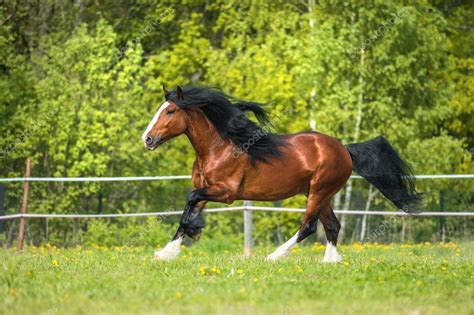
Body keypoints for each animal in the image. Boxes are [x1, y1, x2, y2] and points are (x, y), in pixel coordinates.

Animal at [141, 85, 418, 262]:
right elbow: (186, 212)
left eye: (170, 111)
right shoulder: (206, 190)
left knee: (308, 226)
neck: (218, 147)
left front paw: (192, 232)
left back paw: (274, 256)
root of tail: (345, 149)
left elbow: (189, 203)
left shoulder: (225, 193)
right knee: (332, 226)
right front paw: (165, 253)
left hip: (319, 192)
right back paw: (330, 262)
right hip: (321, 194)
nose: (147, 139)